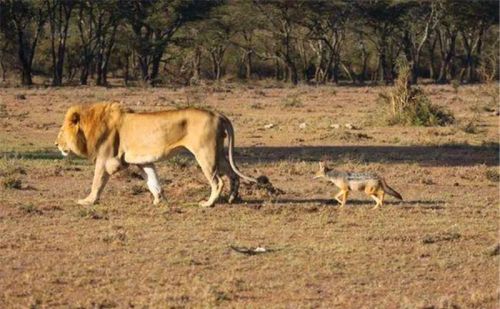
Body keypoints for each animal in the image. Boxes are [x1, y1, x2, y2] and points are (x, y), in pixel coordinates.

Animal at [54, 101, 258, 207]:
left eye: (61, 132)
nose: (55, 144)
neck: (92, 126)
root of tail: (218, 114)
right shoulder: (143, 161)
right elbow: (153, 181)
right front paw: (159, 200)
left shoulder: (106, 159)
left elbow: (97, 182)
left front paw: (87, 201)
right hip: (218, 153)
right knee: (233, 175)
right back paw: (232, 198)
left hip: (205, 153)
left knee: (218, 180)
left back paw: (208, 203)